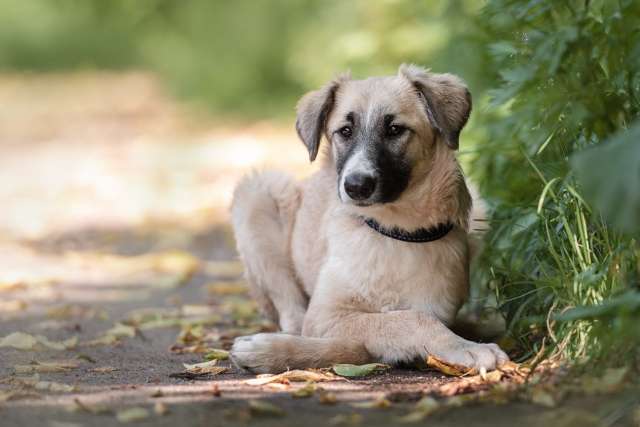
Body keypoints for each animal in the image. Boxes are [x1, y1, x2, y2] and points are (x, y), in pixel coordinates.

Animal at [228, 64, 508, 374]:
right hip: (258, 194)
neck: (393, 231)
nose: (356, 185)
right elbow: (404, 320)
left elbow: (404, 322)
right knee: (291, 312)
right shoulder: (325, 314)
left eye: (395, 129)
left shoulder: (436, 307)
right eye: (345, 131)